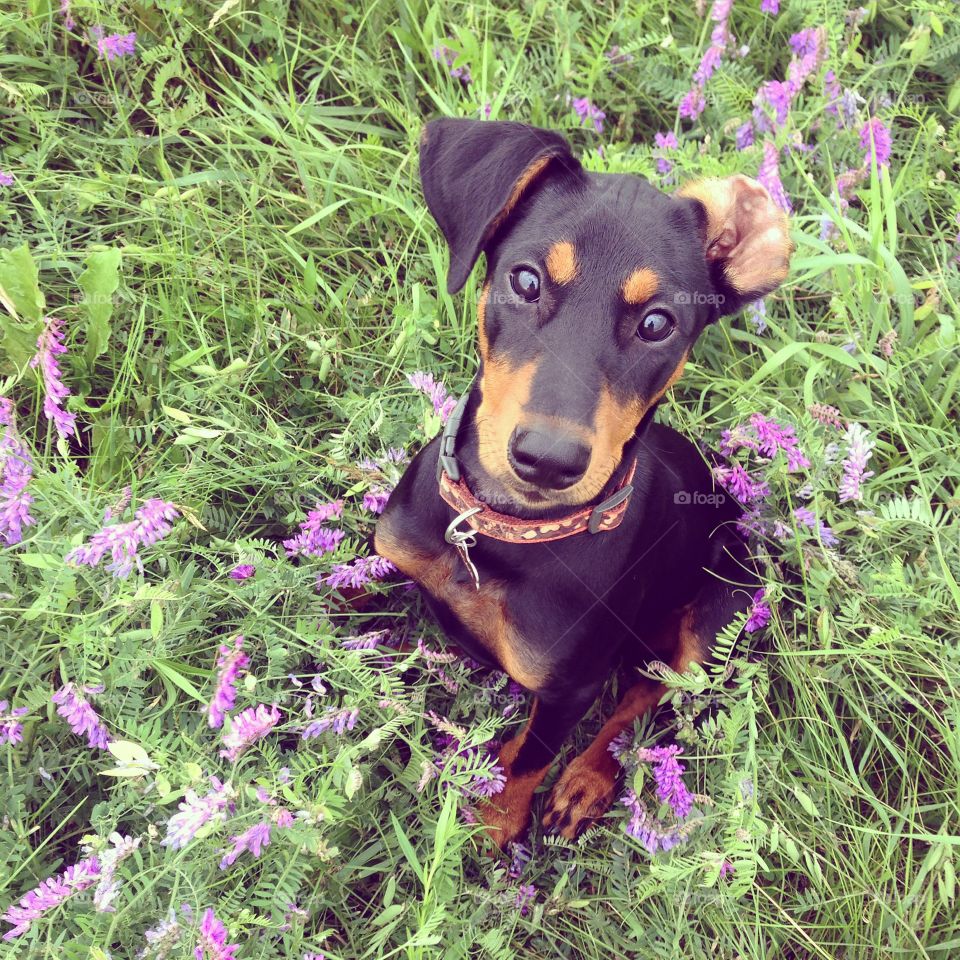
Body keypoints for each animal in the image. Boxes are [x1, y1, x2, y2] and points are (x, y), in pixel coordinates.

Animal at [372, 120, 792, 848]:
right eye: (525, 279)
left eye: (657, 323)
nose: (547, 461)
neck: (497, 535)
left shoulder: (571, 685)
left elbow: (534, 761)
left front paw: (494, 823)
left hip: (722, 610)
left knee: (650, 696)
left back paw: (588, 781)